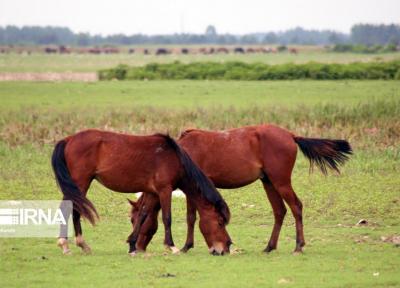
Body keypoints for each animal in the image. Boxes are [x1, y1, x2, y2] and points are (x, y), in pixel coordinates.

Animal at [51, 129, 231, 255]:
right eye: (220, 222)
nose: (227, 247)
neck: (173, 158)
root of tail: (68, 139)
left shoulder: (152, 192)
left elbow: (143, 215)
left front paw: (132, 245)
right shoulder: (164, 190)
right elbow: (167, 218)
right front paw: (172, 247)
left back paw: (82, 245)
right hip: (81, 182)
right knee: (69, 209)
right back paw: (66, 244)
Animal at [128, 124, 350, 252]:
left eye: (133, 219)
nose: (136, 245)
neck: (179, 153)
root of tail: (290, 135)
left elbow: (191, 217)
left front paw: (185, 246)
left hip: (281, 181)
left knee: (296, 207)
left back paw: (298, 245)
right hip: (268, 182)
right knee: (280, 211)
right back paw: (269, 247)